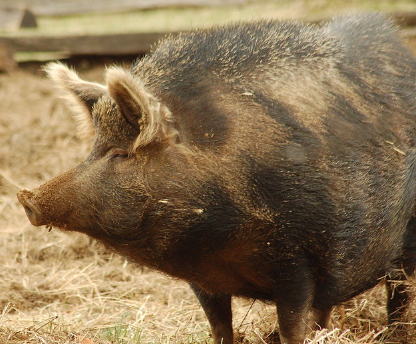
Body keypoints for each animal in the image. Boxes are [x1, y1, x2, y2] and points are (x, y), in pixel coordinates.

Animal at [16, 13, 416, 344]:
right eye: (95, 148)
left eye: (122, 153)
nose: (26, 198)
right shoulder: (205, 280)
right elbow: (220, 328)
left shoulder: (298, 260)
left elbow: (292, 326)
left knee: (398, 294)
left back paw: (395, 335)